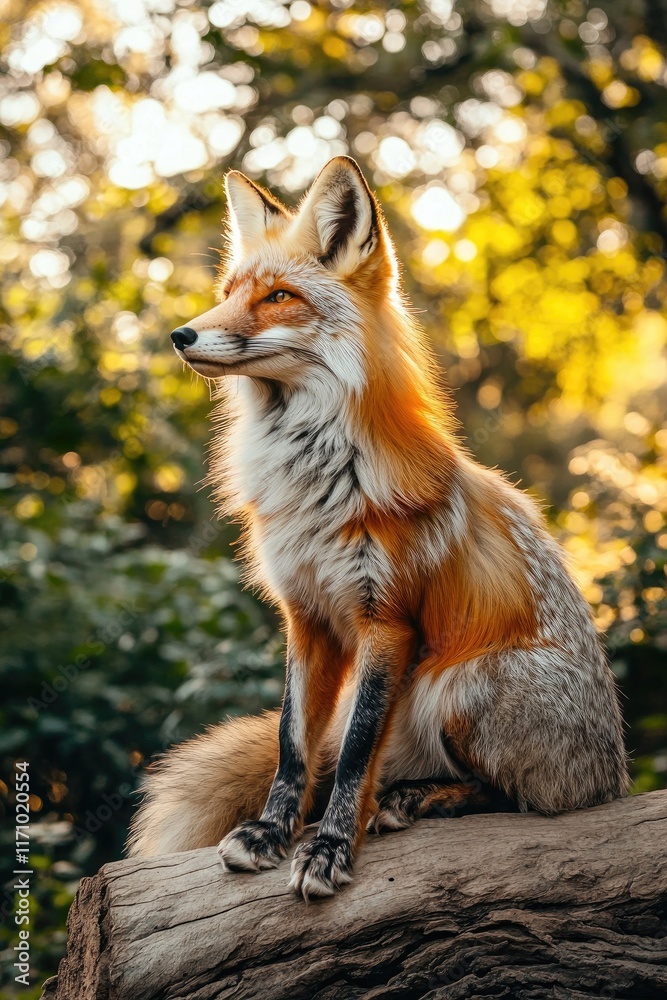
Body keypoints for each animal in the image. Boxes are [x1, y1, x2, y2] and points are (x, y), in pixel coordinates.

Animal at [127, 155, 629, 899]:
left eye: (279, 297)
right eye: (228, 293)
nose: (181, 335)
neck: (317, 484)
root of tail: (615, 776)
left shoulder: (386, 619)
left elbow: (356, 750)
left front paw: (330, 847)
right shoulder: (305, 616)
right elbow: (294, 744)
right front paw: (272, 832)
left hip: (462, 683)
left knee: (513, 797)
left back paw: (412, 799)